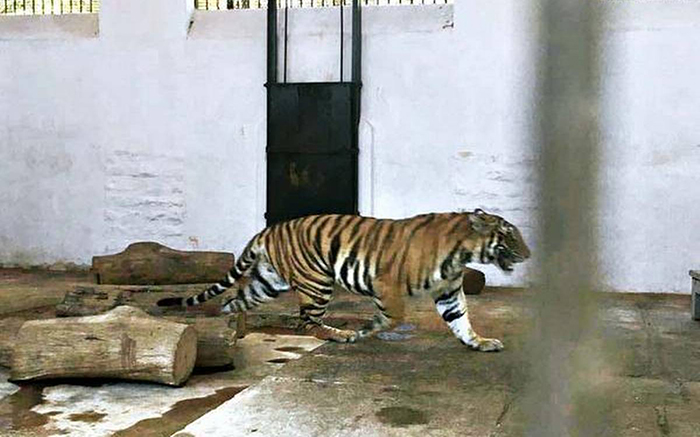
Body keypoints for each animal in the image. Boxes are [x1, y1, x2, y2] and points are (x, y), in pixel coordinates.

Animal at [157, 209, 530, 352]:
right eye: (509, 235)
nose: (528, 253)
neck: (461, 253)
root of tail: (268, 230)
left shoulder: (449, 292)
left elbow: (461, 321)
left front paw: (480, 342)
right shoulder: (386, 282)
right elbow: (394, 316)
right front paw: (366, 330)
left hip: (269, 282)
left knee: (234, 298)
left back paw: (229, 327)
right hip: (316, 281)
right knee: (307, 323)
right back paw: (340, 335)